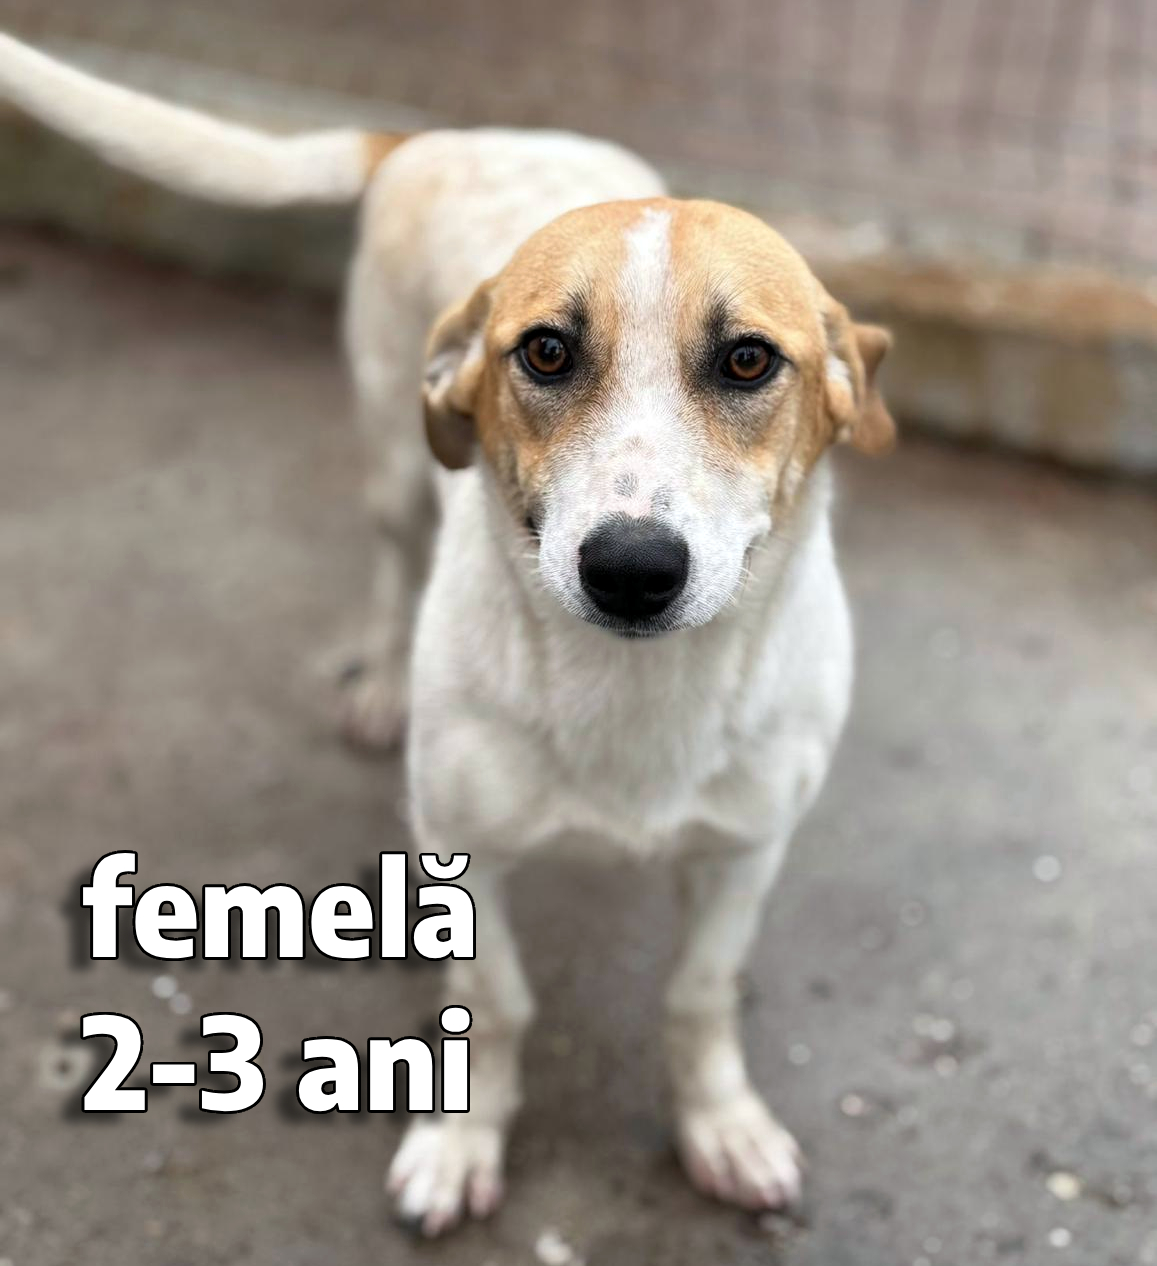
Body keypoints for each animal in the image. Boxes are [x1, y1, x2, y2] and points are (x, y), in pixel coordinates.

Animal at [0, 33, 894, 1236]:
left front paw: (721, 1126)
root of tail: (438, 135)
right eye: (546, 353)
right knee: (389, 565)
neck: (629, 694)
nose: (630, 570)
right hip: (391, 458)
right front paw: (460, 1139)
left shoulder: (748, 848)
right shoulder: (456, 848)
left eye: (748, 361)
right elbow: (494, 997)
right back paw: (381, 686)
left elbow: (697, 995)